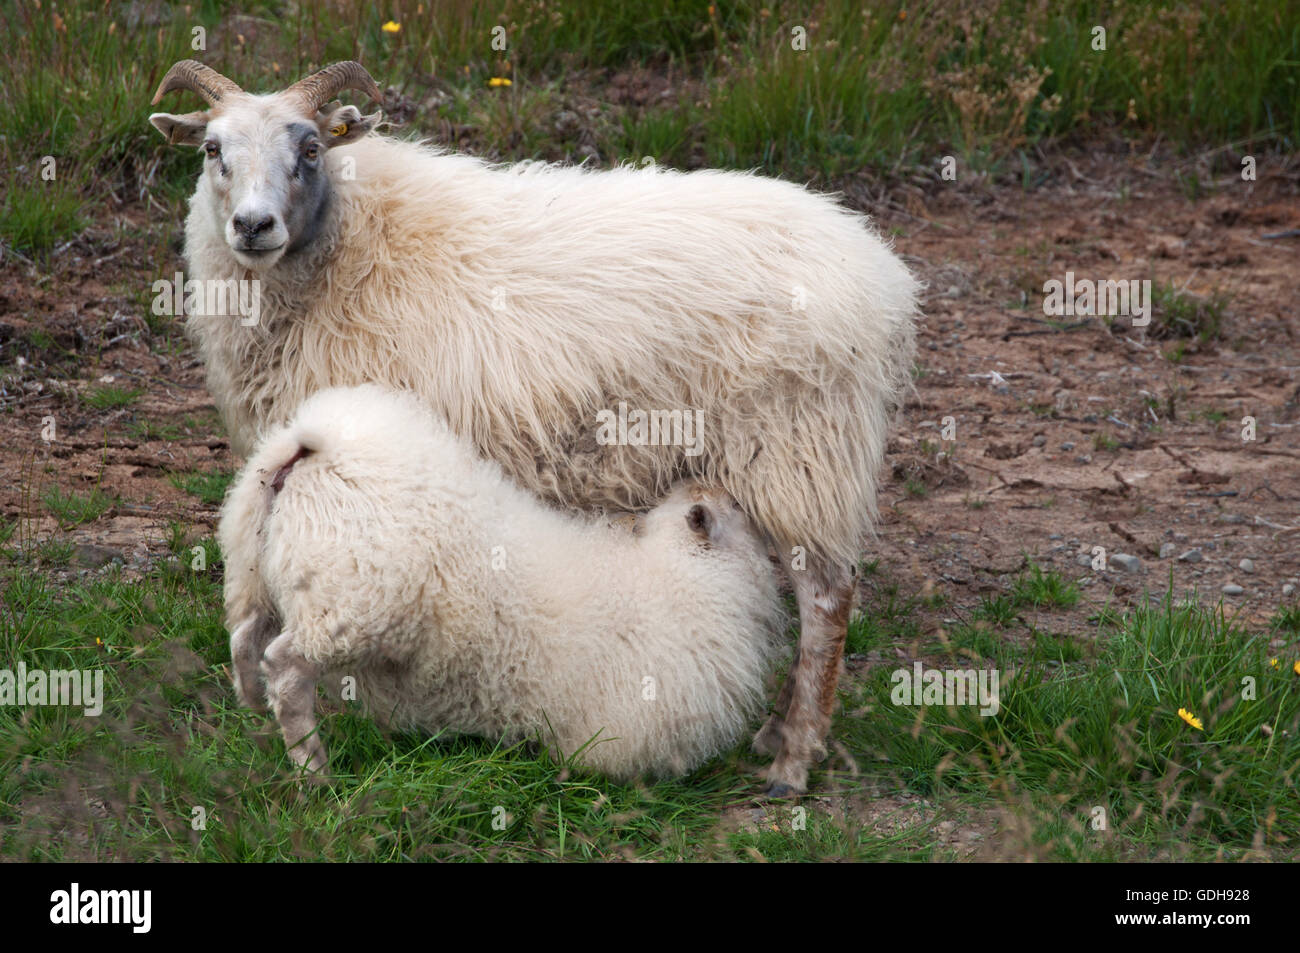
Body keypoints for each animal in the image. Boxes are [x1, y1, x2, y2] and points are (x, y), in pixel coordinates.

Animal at [222, 382, 780, 774]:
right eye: (737, 510)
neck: (679, 577)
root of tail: (314, 447)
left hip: (254, 568)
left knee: (244, 638)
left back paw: (251, 711)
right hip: (348, 610)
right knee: (286, 669)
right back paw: (311, 765)